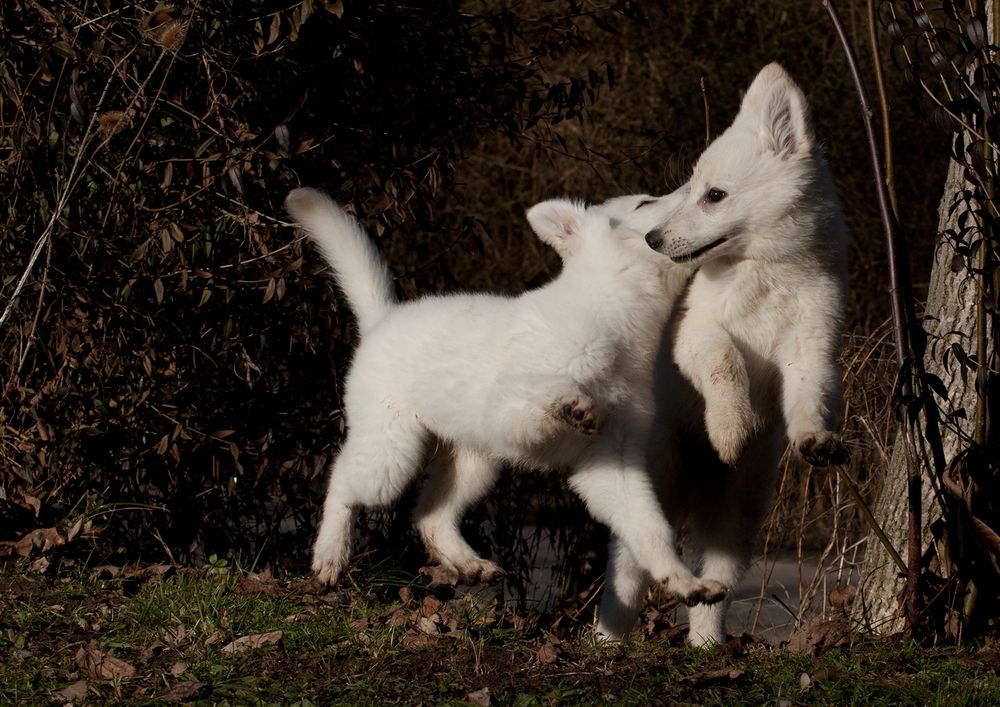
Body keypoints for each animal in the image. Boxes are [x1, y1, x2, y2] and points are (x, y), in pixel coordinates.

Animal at [286, 188, 724, 608]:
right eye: (645, 202)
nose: (695, 186)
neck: (613, 315)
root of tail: (381, 320)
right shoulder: (507, 410)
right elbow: (549, 388)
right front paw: (576, 401)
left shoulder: (612, 461)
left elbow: (650, 528)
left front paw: (684, 582)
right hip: (392, 453)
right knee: (342, 481)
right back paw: (329, 555)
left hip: (472, 464)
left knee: (430, 516)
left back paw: (468, 563)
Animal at [596, 62, 848, 648]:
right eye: (691, 190)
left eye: (714, 195)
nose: (653, 238)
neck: (764, 272)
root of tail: (698, 483)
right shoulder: (697, 334)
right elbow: (726, 364)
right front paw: (731, 426)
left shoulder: (811, 347)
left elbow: (810, 397)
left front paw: (813, 438)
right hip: (659, 483)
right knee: (630, 569)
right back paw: (606, 639)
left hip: (737, 517)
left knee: (717, 584)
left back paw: (707, 643)